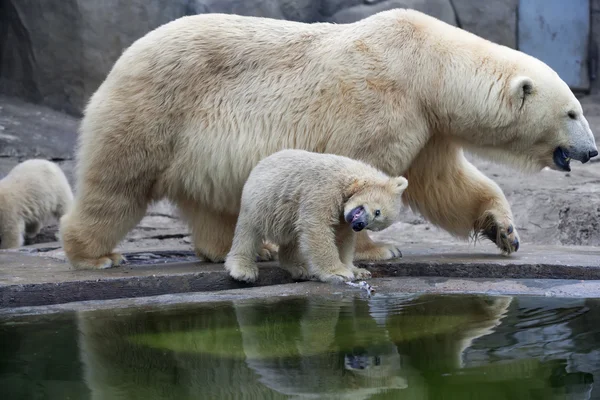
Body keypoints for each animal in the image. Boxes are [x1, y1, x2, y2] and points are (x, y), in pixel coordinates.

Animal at [58, 8, 596, 268]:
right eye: (572, 111)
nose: (592, 150)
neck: (429, 67)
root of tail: (123, 59)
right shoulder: (385, 101)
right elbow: (360, 170)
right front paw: (381, 250)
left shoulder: (428, 126)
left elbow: (445, 184)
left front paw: (504, 231)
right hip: (155, 111)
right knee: (117, 185)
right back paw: (95, 254)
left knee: (208, 200)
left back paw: (246, 249)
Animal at [224, 148, 408, 282]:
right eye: (378, 212)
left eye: (374, 226)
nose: (359, 225)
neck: (348, 176)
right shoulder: (323, 189)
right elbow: (317, 227)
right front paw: (339, 273)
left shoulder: (342, 215)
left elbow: (343, 238)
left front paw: (357, 271)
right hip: (261, 202)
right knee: (249, 232)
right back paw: (243, 269)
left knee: (294, 235)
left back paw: (299, 267)